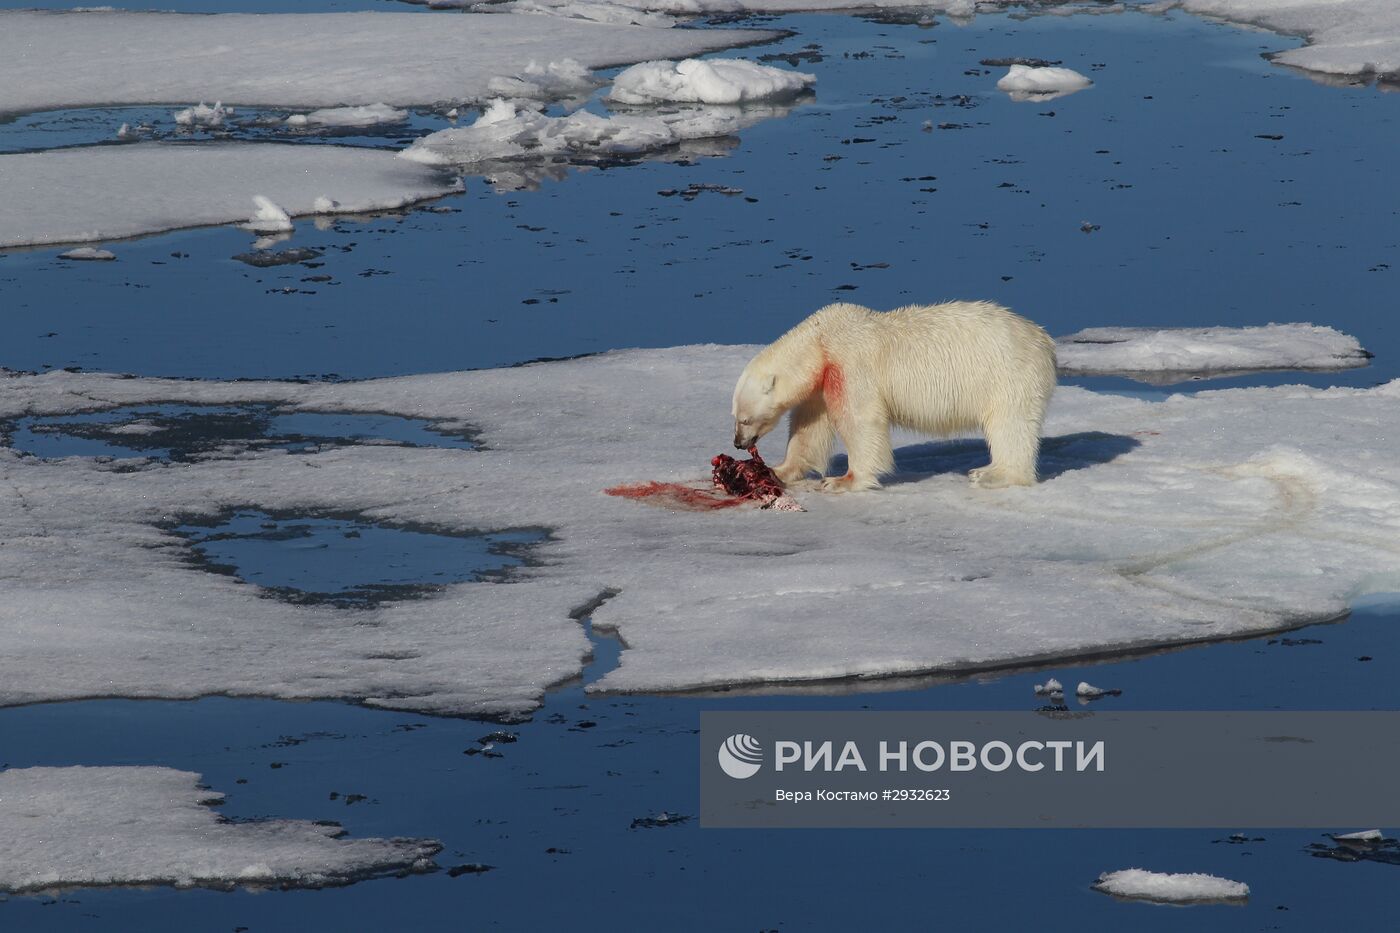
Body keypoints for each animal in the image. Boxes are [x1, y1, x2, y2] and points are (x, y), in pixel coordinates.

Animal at [739, 301, 1052, 490]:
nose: (738, 443)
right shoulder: (825, 379)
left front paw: (842, 480)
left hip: (1008, 374)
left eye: (744, 419)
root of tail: (1044, 340)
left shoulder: (850, 364)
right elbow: (809, 427)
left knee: (1009, 425)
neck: (821, 340)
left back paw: (991, 473)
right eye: (736, 415)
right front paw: (779, 470)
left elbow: (861, 420)